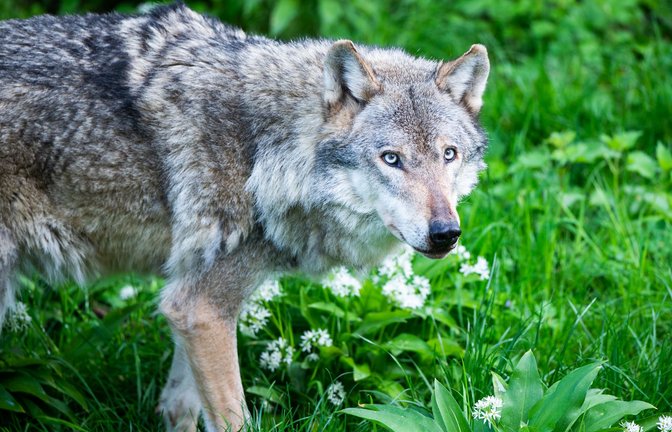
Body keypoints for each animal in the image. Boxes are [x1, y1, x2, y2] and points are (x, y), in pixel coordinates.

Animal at [0, 3, 489, 431]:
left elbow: (179, 406)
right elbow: (233, 417)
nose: (445, 233)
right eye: (391, 159)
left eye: (449, 154)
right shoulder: (203, 308)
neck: (264, 150)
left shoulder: (188, 306)